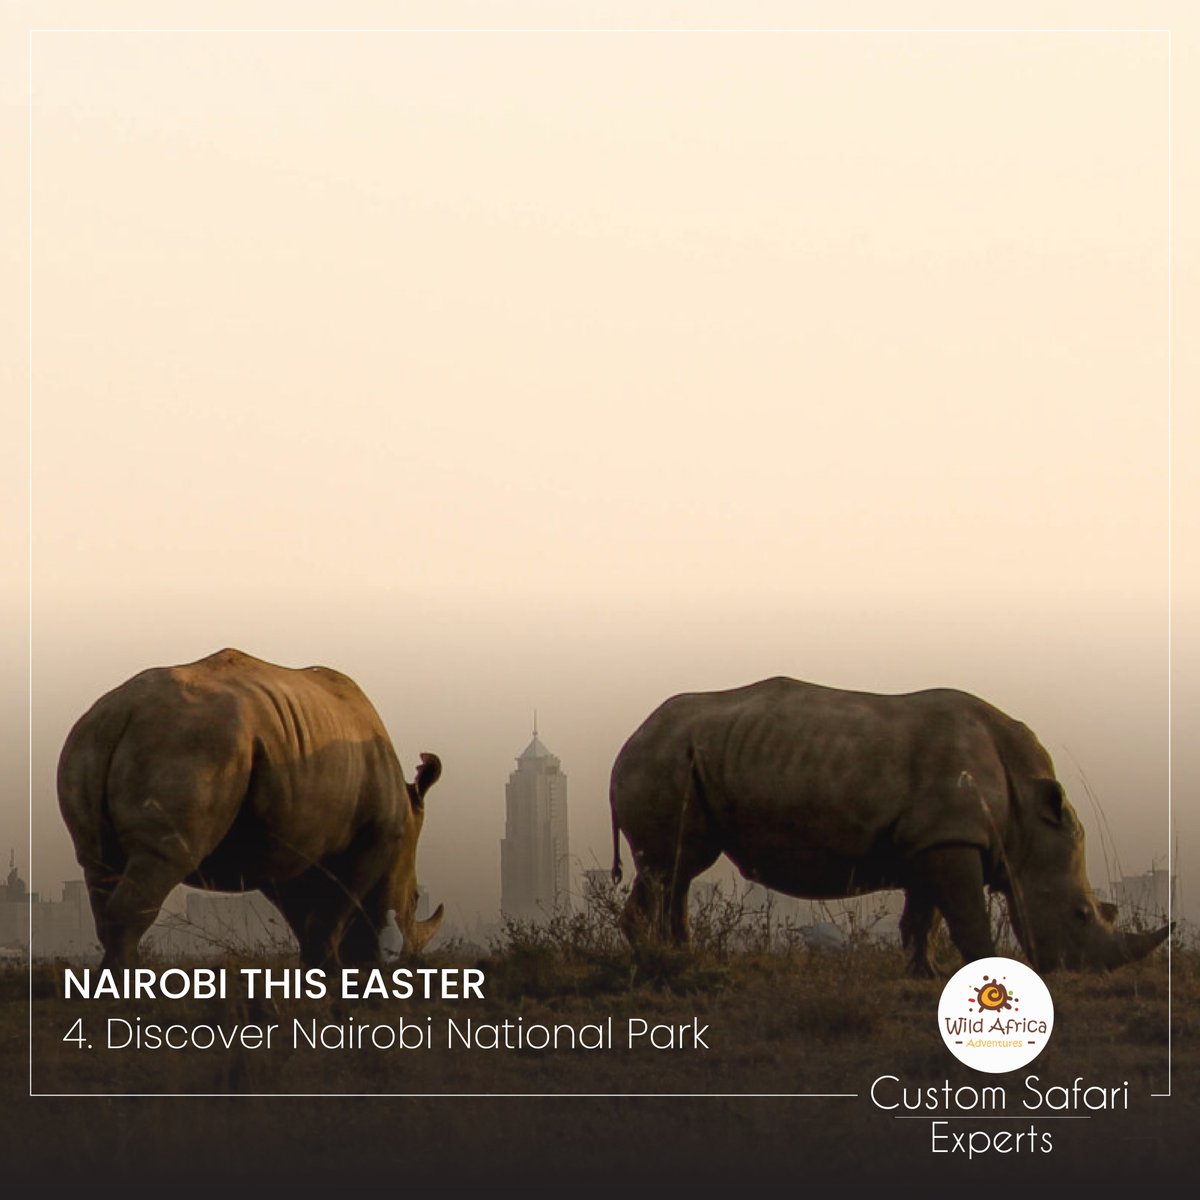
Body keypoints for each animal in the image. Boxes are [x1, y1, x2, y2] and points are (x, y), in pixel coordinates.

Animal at [58, 648, 444, 968]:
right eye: (414, 899)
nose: (407, 959)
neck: (406, 816)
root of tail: (122, 711)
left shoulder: (286, 846)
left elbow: (308, 919)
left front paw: (320, 973)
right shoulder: (373, 837)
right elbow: (338, 909)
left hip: (88, 744)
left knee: (98, 865)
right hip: (191, 745)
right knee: (161, 859)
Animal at [609, 677, 1169, 974]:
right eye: (1080, 914)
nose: (1090, 974)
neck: (1027, 821)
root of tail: (632, 738)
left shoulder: (931, 839)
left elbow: (923, 917)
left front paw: (925, 975)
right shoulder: (950, 836)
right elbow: (965, 915)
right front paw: (980, 970)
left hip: (688, 757)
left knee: (679, 870)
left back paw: (685, 958)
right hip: (663, 760)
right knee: (669, 867)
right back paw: (653, 961)